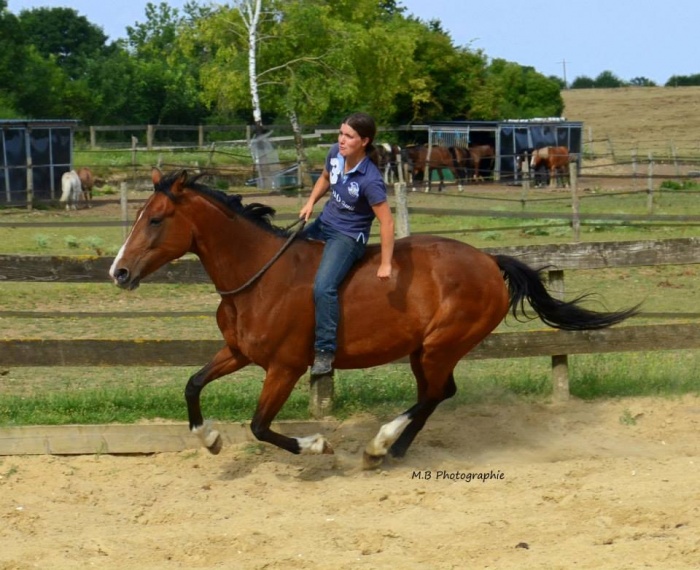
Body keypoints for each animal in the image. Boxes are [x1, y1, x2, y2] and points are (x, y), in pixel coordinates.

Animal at [110, 168, 640, 466]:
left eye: (155, 219)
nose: (118, 272)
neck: (259, 278)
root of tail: (490, 261)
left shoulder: (285, 367)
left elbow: (260, 425)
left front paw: (318, 446)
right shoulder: (238, 352)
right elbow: (192, 385)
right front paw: (212, 439)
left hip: (440, 345)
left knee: (433, 394)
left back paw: (380, 445)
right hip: (426, 350)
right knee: (438, 394)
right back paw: (394, 449)